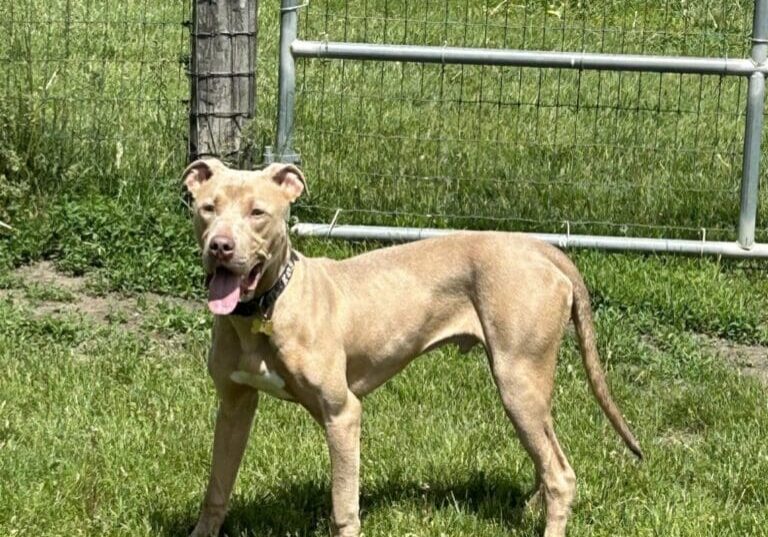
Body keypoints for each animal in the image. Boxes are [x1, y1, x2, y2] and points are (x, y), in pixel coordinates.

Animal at [184, 158, 640, 536]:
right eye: (207, 208)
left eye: (257, 212)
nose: (220, 246)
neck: (266, 308)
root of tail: (538, 246)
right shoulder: (234, 405)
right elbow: (217, 487)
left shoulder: (342, 413)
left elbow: (343, 506)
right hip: (531, 391)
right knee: (547, 459)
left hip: (517, 383)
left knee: (560, 474)